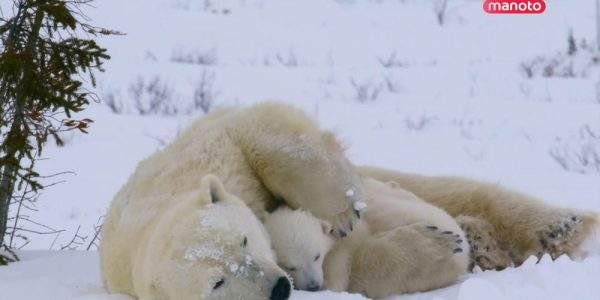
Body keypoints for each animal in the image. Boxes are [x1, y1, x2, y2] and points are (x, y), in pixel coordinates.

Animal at [103, 102, 600, 298]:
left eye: (243, 240)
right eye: (217, 282)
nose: (279, 287)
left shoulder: (207, 152)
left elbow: (262, 130)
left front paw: (342, 210)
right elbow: (353, 268)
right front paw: (438, 247)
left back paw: (562, 226)